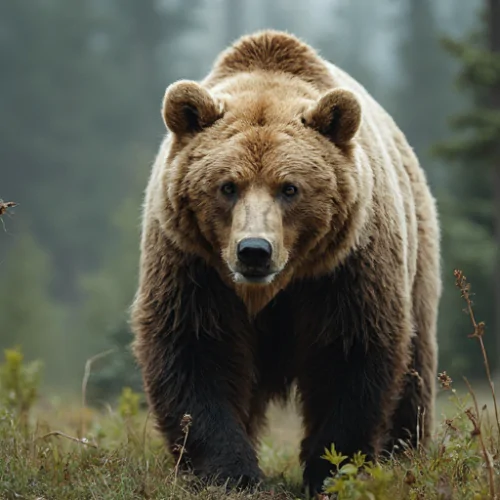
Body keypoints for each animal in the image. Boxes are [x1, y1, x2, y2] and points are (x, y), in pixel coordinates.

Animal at [130, 29, 442, 494]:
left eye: (289, 188)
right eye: (228, 186)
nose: (254, 250)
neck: (272, 289)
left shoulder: (344, 269)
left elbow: (350, 353)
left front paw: (332, 469)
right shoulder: (193, 267)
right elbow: (196, 351)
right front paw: (231, 472)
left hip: (417, 252)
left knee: (415, 366)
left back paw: (404, 450)